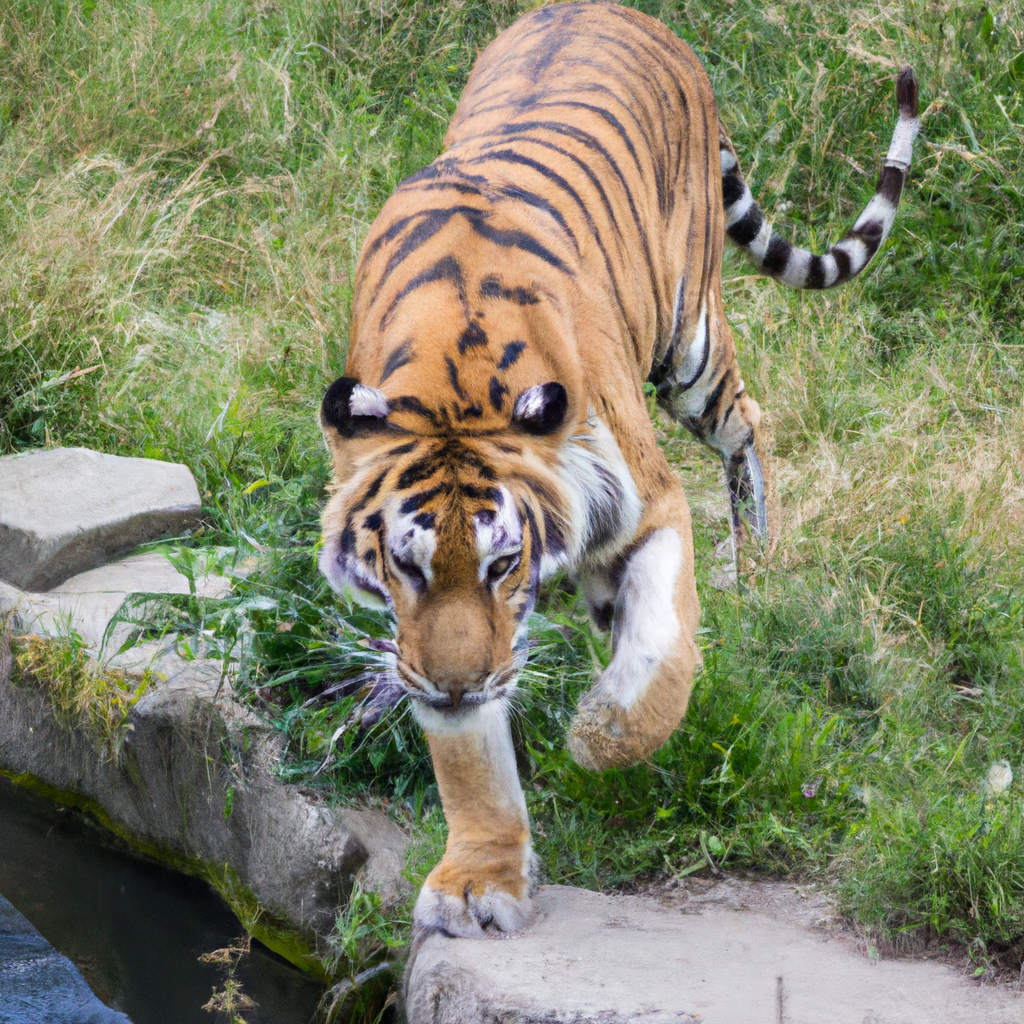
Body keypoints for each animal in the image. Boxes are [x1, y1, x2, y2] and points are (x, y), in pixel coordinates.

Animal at [318, 0, 919, 938]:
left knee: (748, 422)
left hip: (689, 343)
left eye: (502, 563)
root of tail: (621, 12)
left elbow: (661, 653)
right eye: (404, 567)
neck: (454, 386)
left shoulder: (649, 505)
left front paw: (601, 737)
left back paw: (756, 570)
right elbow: (470, 762)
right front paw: (478, 883)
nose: (455, 687)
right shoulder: (429, 644)